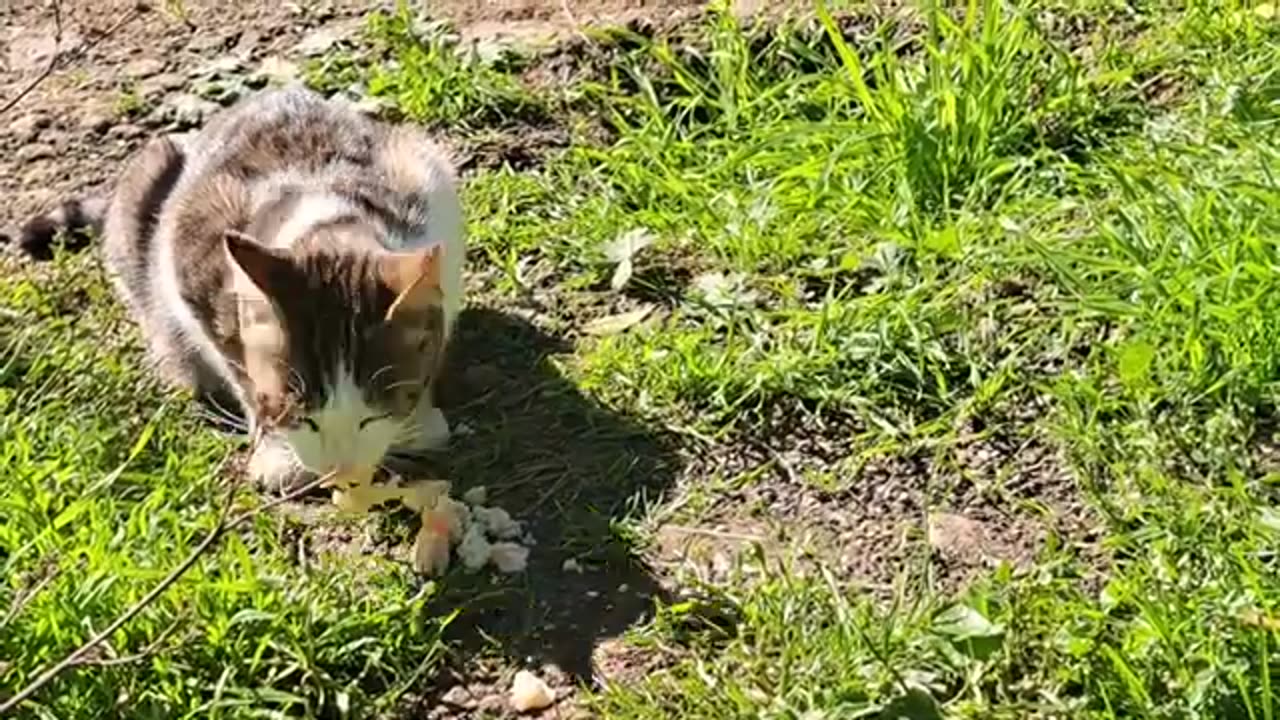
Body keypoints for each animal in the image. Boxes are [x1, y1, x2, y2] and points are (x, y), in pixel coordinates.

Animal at [17, 83, 468, 486]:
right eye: (304, 417)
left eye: (370, 416)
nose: (339, 470)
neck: (327, 221)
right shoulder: (188, 257)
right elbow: (236, 366)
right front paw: (276, 452)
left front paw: (419, 419)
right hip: (147, 181)